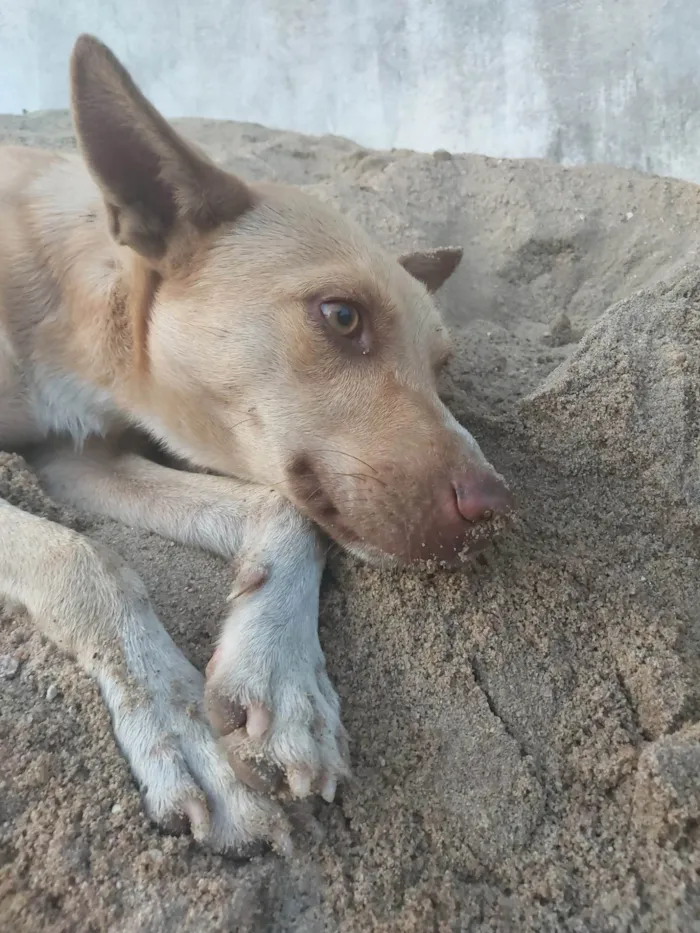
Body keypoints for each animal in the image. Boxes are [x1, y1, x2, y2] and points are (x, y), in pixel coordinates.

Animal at [0, 34, 516, 852]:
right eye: (341, 316)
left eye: (442, 368)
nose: (498, 508)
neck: (75, 304)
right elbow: (82, 556)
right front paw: (182, 732)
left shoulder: (79, 456)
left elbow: (287, 510)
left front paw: (284, 677)